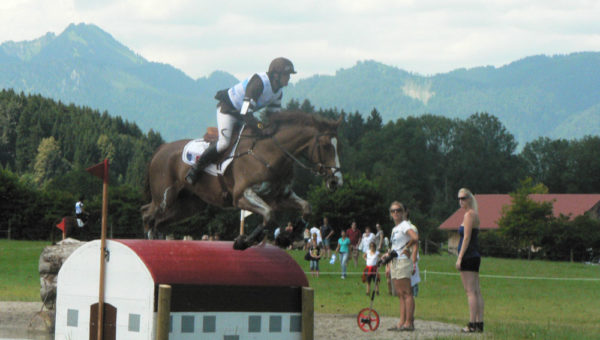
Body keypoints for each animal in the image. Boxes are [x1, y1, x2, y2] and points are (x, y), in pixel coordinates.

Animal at [140, 111, 342, 250]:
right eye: (326, 146)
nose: (336, 182)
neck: (270, 154)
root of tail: (162, 148)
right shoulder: (242, 196)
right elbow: (269, 214)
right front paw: (243, 242)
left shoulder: (280, 197)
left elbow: (306, 207)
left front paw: (285, 238)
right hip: (165, 197)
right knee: (148, 215)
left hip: (190, 205)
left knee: (159, 222)